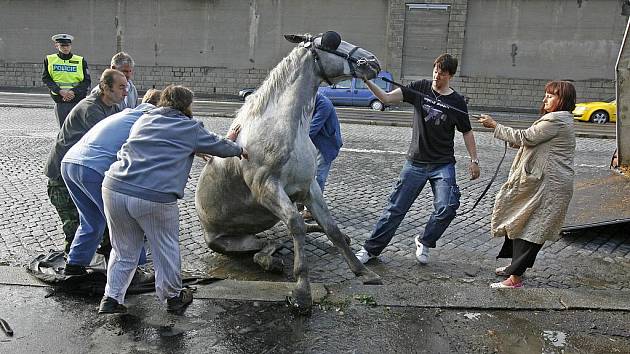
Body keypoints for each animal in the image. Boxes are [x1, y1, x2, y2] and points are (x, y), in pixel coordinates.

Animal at [198, 31, 382, 312]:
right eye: (331, 40)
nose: (372, 62)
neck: (284, 127)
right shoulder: (267, 189)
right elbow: (296, 225)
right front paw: (302, 292)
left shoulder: (309, 187)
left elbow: (331, 228)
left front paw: (363, 272)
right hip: (233, 241)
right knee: (268, 244)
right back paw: (270, 262)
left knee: (281, 239)